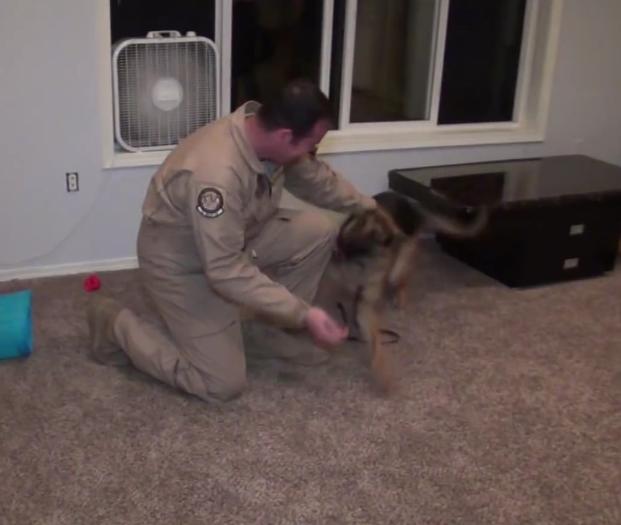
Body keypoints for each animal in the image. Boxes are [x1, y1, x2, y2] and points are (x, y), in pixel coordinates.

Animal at [332, 190, 486, 390]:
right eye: (380, 234)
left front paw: (381, 371)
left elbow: (375, 342)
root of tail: (411, 203)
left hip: (399, 265)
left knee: (400, 281)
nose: (398, 237)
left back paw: (399, 298)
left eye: (385, 237)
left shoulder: (367, 299)